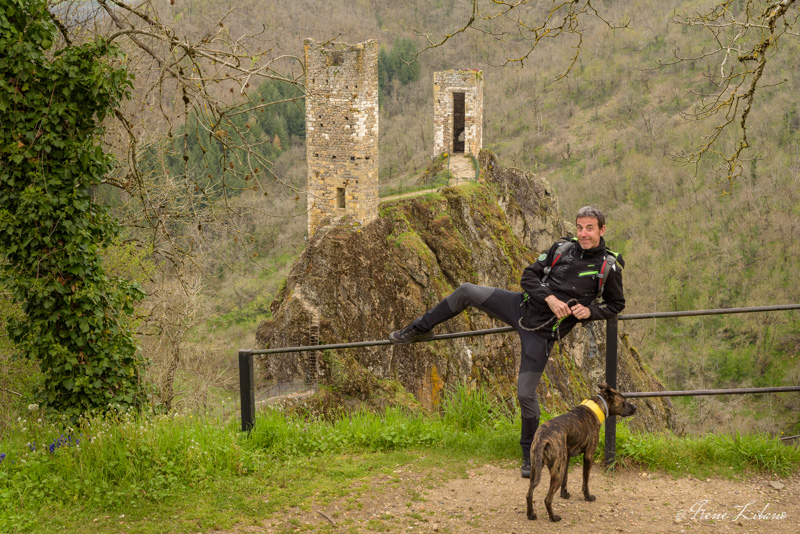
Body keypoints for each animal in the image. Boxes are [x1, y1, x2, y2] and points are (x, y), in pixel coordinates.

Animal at [524, 384, 636, 524]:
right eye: (624, 401)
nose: (635, 408)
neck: (595, 407)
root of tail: (543, 437)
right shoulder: (588, 456)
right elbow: (585, 481)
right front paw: (588, 497)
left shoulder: (566, 459)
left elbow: (566, 479)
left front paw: (564, 494)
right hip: (556, 472)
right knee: (547, 499)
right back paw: (553, 517)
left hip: (536, 469)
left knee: (529, 493)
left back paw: (531, 514)